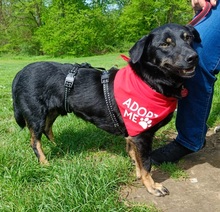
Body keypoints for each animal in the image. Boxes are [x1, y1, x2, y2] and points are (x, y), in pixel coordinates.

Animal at [12, 22, 201, 195]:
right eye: (164, 44)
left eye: (188, 38)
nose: (194, 57)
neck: (147, 81)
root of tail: (20, 73)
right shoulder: (142, 134)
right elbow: (146, 164)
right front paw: (152, 186)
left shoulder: (133, 135)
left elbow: (135, 157)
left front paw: (138, 173)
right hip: (36, 115)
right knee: (35, 141)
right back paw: (45, 163)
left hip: (53, 111)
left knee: (47, 129)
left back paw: (57, 146)